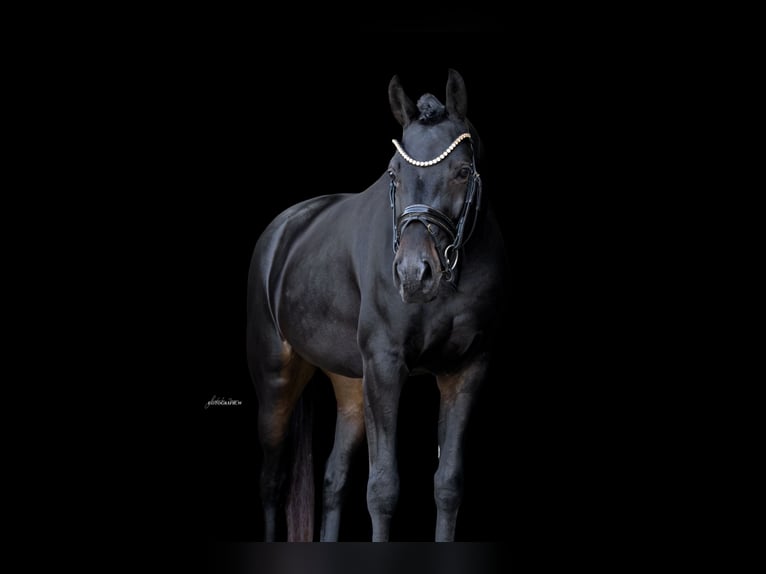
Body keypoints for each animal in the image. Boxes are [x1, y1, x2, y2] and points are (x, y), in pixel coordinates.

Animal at [246, 69, 507, 542]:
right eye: (394, 173)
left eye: (462, 172)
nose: (414, 274)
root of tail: (283, 228)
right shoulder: (385, 368)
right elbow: (383, 488)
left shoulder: (466, 370)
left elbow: (448, 485)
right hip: (275, 382)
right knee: (272, 482)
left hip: (350, 384)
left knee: (332, 479)